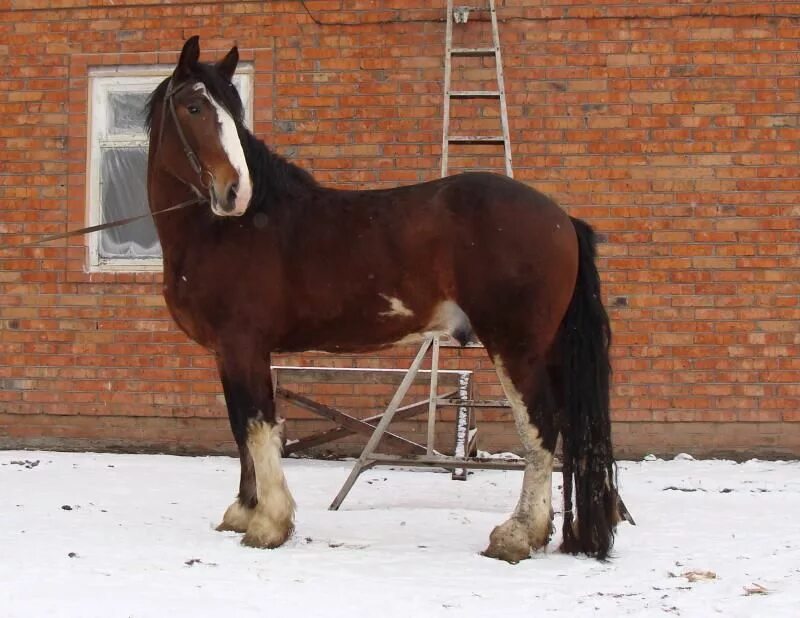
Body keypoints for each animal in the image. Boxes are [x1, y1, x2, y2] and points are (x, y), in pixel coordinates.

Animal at [145, 36, 620, 560]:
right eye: (194, 107)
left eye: (232, 110)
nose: (235, 191)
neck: (227, 230)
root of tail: (562, 219)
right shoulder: (228, 353)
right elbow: (239, 428)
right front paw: (244, 512)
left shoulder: (243, 345)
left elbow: (257, 427)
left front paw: (268, 524)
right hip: (545, 349)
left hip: (516, 347)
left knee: (540, 427)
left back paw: (515, 534)